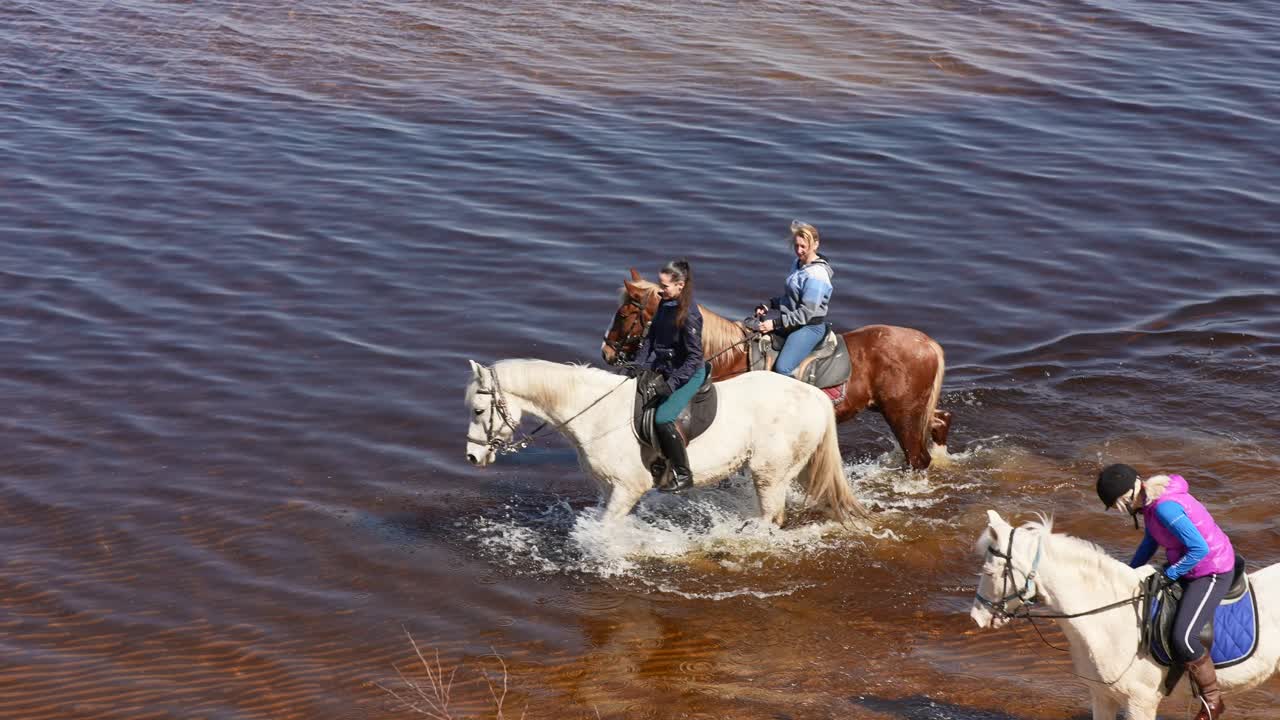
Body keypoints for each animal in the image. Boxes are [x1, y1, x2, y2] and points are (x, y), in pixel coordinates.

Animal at [463, 358, 869, 526]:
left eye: (479, 410)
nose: (471, 457)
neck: (597, 412)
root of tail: (814, 396)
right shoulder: (607, 487)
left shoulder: (628, 488)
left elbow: (605, 529)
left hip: (769, 472)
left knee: (771, 517)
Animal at [600, 269, 951, 469]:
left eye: (623, 314)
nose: (606, 351)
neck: (732, 357)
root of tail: (929, 344)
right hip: (908, 409)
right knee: (940, 422)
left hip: (902, 413)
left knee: (918, 457)